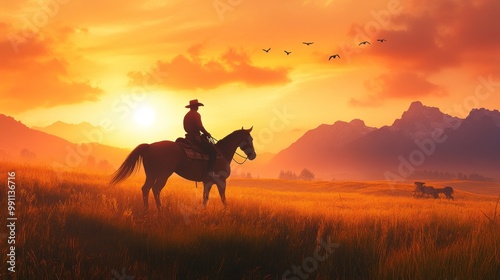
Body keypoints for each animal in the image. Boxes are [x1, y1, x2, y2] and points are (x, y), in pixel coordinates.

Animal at [110, 127, 258, 210]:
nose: (253, 156)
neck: (222, 152)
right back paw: (160, 209)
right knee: (156, 189)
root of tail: (150, 146)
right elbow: (223, 198)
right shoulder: (221, 181)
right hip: (163, 174)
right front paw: (226, 210)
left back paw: (147, 209)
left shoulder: (208, 182)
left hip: (151, 174)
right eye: (249, 139)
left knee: (146, 188)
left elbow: (205, 198)